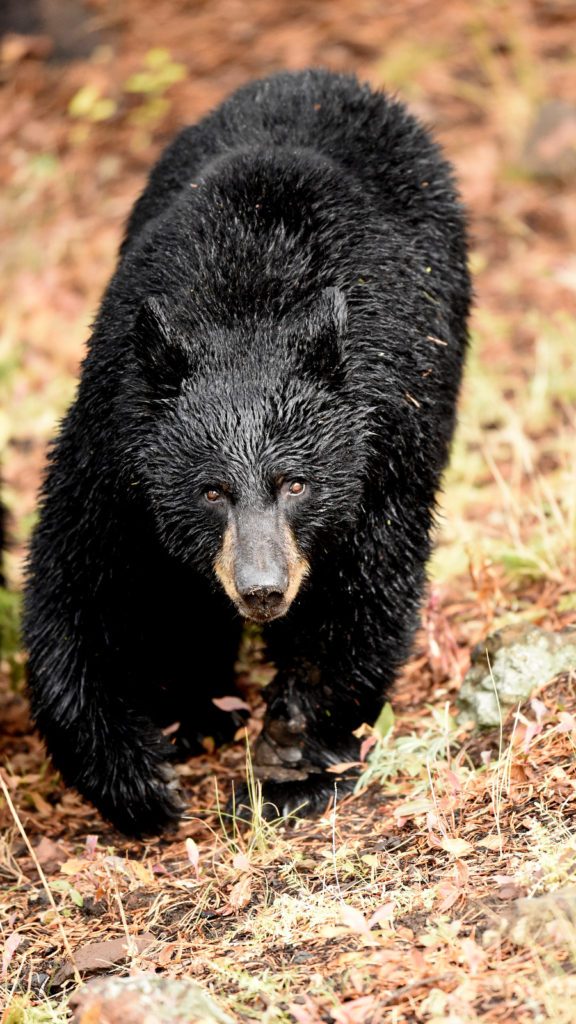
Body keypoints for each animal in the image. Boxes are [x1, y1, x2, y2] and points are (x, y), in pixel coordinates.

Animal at [24, 74, 469, 839]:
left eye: (296, 485)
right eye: (211, 492)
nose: (263, 589)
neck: (247, 320)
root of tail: (319, 77)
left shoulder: (385, 446)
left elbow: (368, 588)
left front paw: (292, 757)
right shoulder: (115, 450)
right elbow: (78, 584)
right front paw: (139, 778)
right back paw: (200, 707)